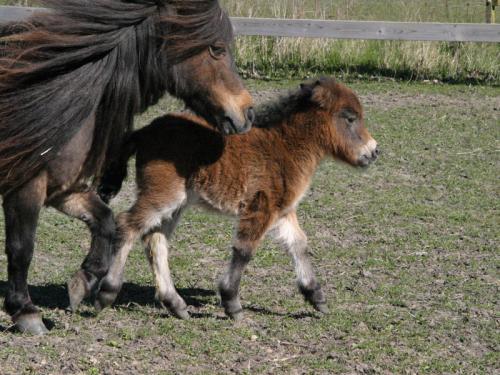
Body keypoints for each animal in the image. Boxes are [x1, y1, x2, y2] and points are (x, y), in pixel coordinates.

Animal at [0, 0, 254, 334]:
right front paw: (25, 311)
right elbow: (22, 248)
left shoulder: (62, 190)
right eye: (216, 48)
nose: (247, 114)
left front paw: (85, 281)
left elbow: (106, 222)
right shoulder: (25, 186)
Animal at [96, 78, 378, 320]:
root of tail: (144, 131)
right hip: (164, 194)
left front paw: (316, 296)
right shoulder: (261, 207)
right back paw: (107, 292)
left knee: (155, 240)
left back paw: (175, 304)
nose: (374, 152)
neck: (286, 147)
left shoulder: (283, 210)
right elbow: (244, 249)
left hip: (177, 204)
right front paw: (231, 302)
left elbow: (299, 244)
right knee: (127, 225)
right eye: (350, 118)